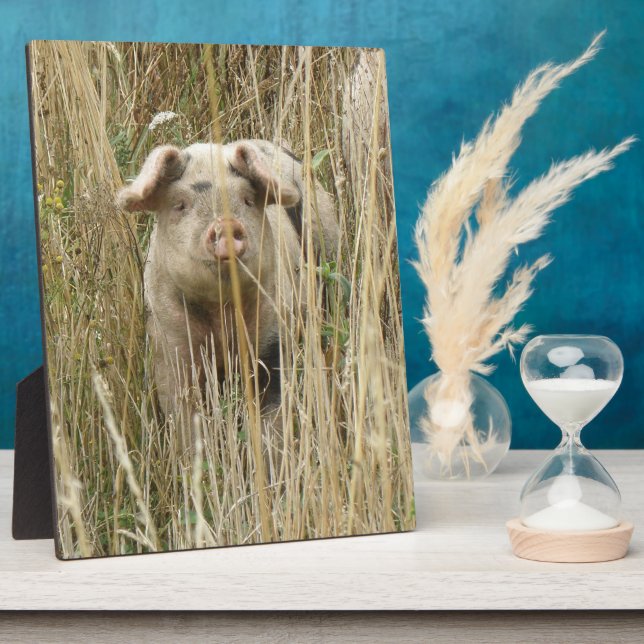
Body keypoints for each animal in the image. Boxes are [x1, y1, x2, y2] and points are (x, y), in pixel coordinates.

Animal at [117, 140, 338, 431]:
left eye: (247, 200)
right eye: (180, 205)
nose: (226, 224)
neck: (219, 313)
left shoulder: (274, 333)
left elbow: (273, 412)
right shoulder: (168, 344)